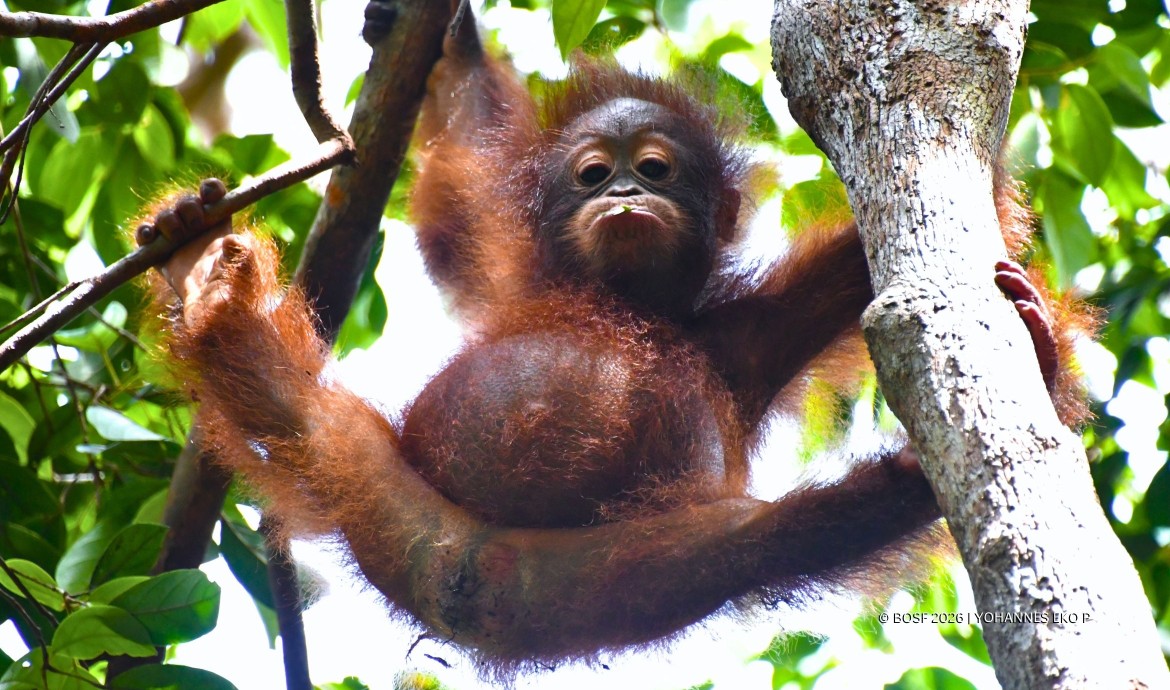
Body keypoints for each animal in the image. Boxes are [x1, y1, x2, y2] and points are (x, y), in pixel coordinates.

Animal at [136, 6, 1092, 673]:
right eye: (595, 173)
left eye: (656, 169)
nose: (627, 194)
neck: (623, 299)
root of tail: (467, 600)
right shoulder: (515, 266)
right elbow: (466, 176)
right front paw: (445, 42)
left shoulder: (746, 336)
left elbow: (880, 248)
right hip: (384, 498)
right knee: (296, 412)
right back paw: (202, 280)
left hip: (598, 579)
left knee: (754, 546)